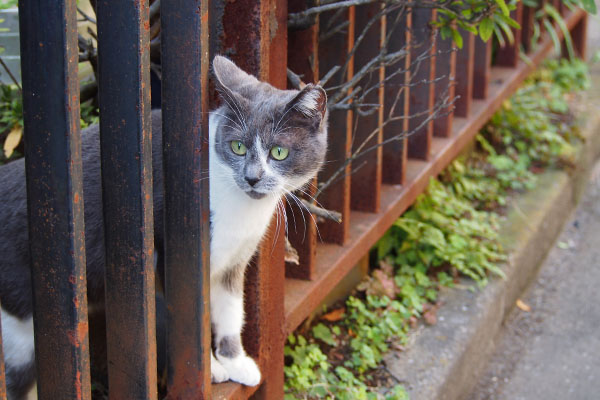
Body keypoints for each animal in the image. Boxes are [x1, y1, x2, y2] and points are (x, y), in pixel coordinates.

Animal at [0, 54, 328, 398]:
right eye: (237, 146)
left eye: (279, 152)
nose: (252, 177)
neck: (241, 210)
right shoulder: (169, 259)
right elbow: (183, 319)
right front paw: (210, 370)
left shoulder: (234, 263)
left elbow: (230, 311)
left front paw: (235, 362)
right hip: (20, 328)